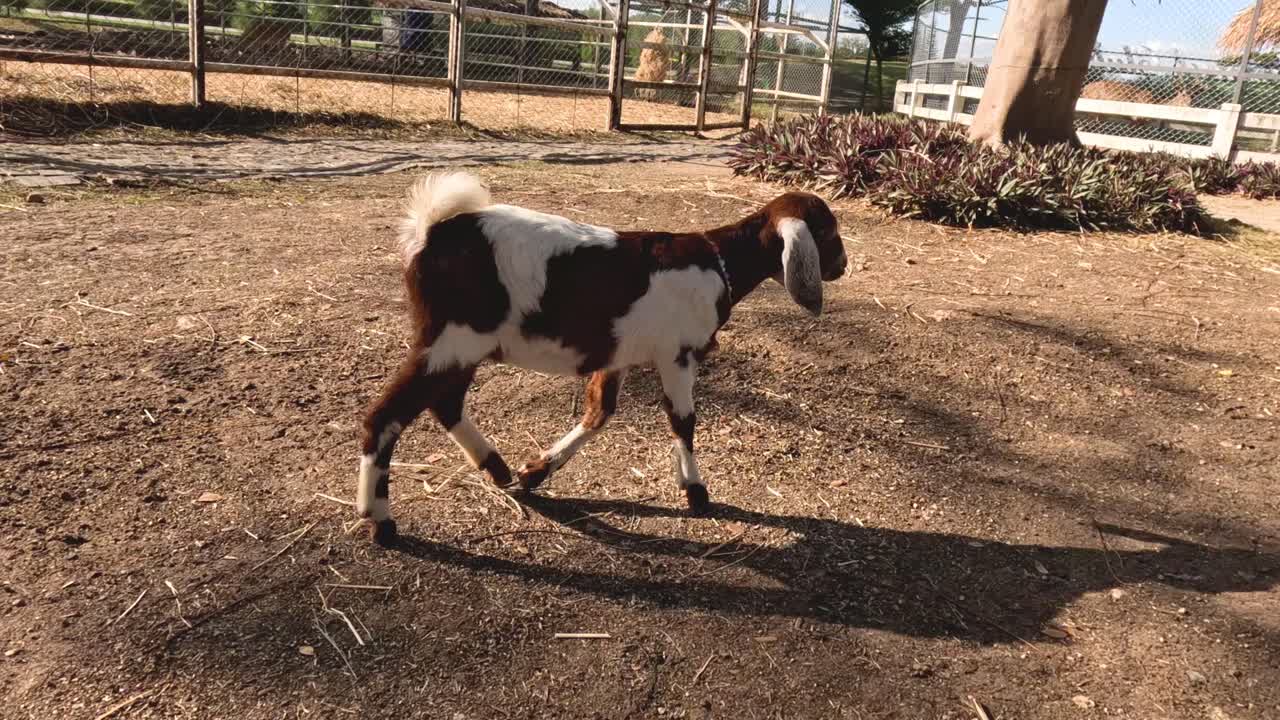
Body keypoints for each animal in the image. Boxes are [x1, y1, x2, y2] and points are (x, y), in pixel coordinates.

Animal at [356, 172, 848, 545]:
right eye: (827, 231)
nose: (842, 265)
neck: (718, 261)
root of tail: (432, 231)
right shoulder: (677, 354)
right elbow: (683, 421)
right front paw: (696, 492)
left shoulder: (617, 355)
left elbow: (599, 414)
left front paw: (537, 471)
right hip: (450, 338)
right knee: (386, 416)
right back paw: (380, 521)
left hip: (461, 345)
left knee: (446, 403)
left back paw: (497, 469)